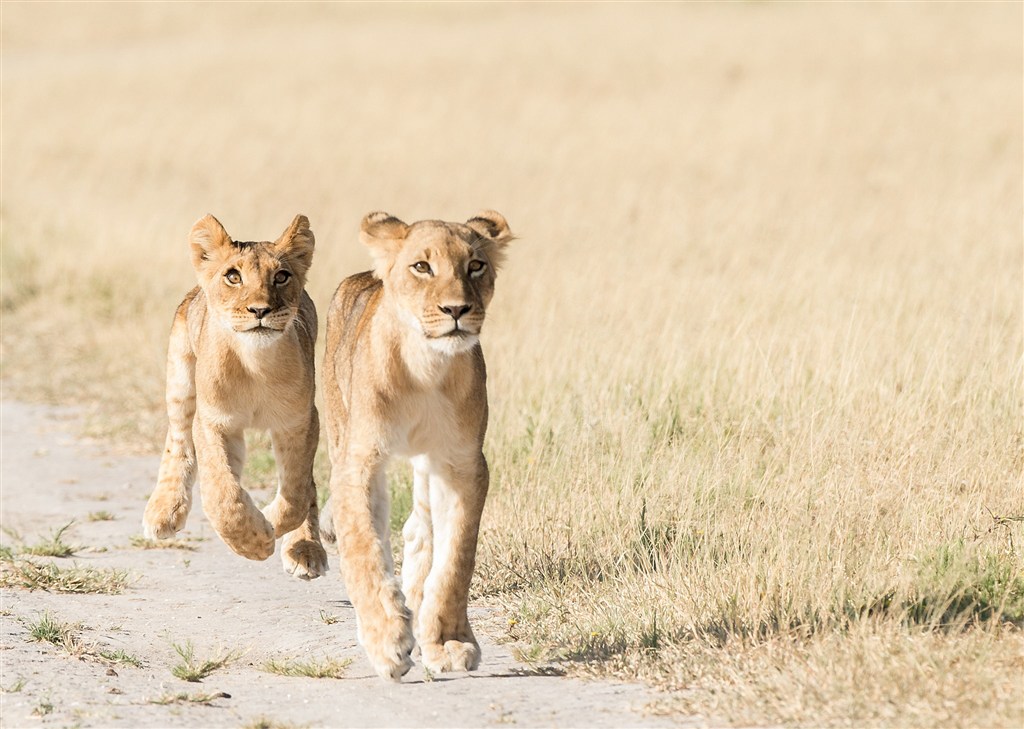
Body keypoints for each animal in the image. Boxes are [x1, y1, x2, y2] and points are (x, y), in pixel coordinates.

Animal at [142, 213, 325, 577]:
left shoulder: (299, 422)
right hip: (181, 378)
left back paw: (305, 548)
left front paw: (271, 524)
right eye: (233, 276)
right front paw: (256, 541)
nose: (260, 310)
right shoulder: (214, 422)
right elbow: (222, 494)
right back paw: (163, 511)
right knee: (178, 440)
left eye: (281, 276)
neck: (255, 364)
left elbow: (296, 492)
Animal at [319, 208, 512, 675]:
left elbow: (456, 556)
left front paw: (447, 642)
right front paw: (387, 639)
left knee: (419, 529)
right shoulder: (360, 461)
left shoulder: (462, 463)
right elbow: (364, 547)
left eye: (475, 265)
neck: (427, 367)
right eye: (422, 266)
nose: (457, 309)